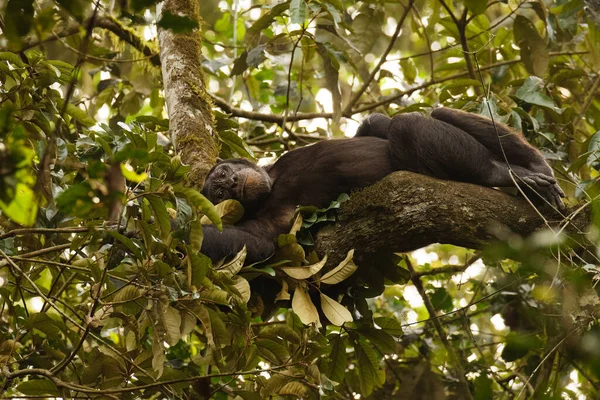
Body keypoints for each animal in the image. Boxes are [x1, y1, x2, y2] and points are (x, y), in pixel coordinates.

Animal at [200, 108, 564, 262]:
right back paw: (501, 175)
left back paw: (534, 166)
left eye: (224, 176)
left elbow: (376, 125)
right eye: (219, 192)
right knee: (409, 126)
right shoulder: (268, 228)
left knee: (428, 115)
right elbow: (248, 245)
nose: (232, 182)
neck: (274, 185)